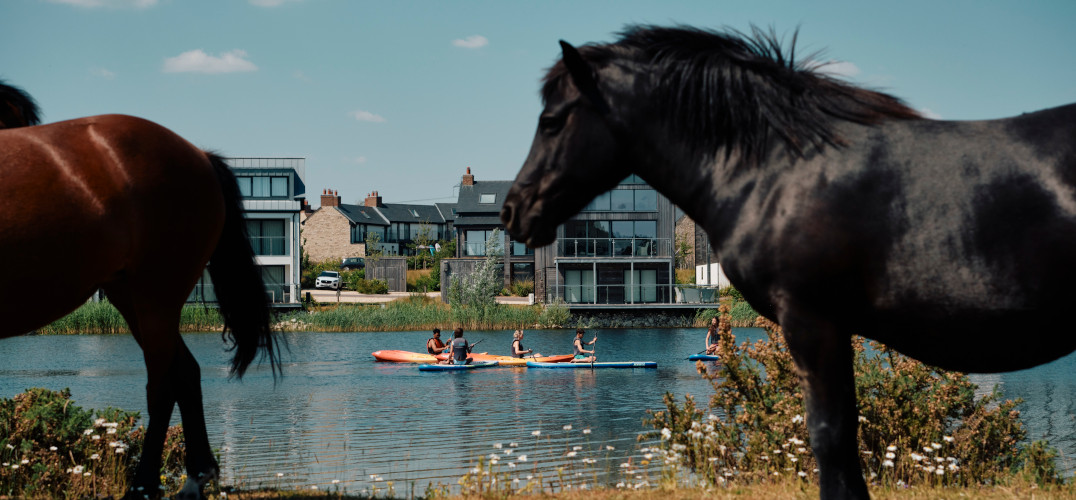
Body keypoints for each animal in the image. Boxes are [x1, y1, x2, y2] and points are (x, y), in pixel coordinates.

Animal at [0, 82, 281, 499]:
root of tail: (199, 155)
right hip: (131, 296)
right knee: (186, 372)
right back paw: (195, 477)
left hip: (155, 295)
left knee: (163, 385)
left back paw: (144, 485)